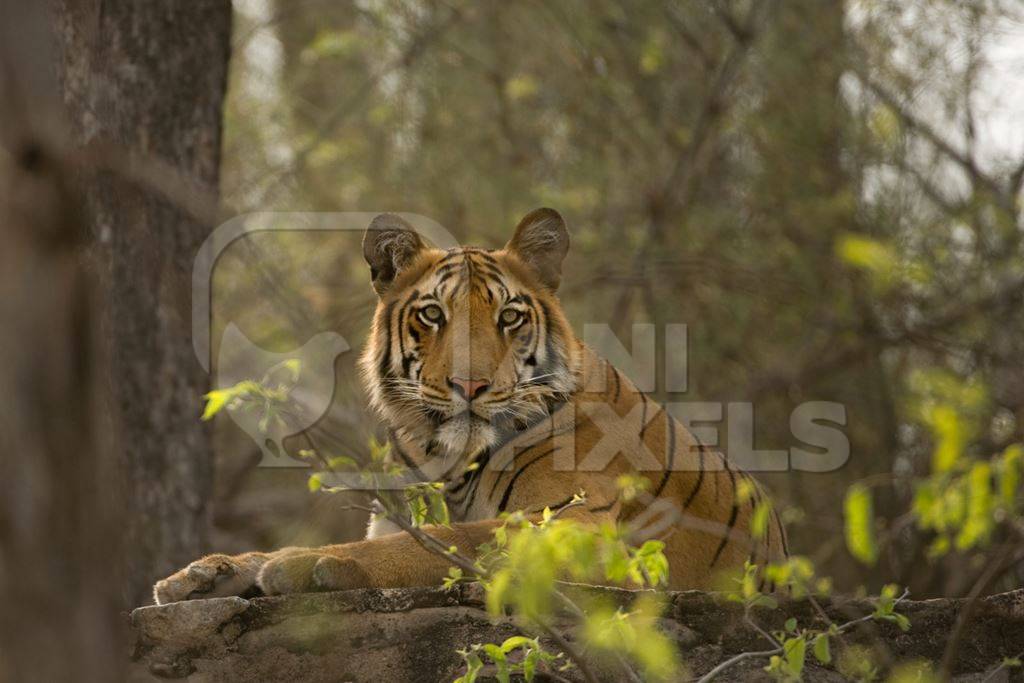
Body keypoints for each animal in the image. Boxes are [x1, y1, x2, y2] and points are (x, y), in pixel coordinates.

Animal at [151, 206, 782, 602]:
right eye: (433, 314)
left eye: (509, 316)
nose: (470, 386)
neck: (449, 458)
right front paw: (209, 573)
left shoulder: (572, 525)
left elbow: (446, 541)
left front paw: (304, 566)